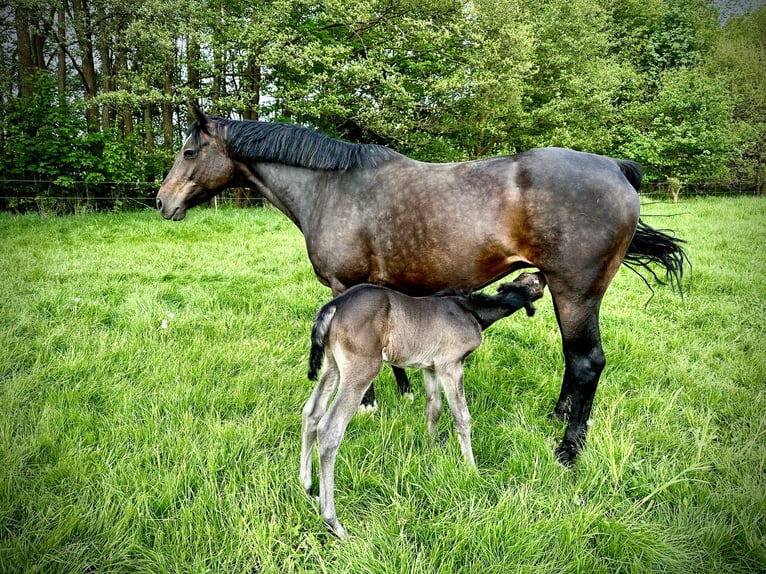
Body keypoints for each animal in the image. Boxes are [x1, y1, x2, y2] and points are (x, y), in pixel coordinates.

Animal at [156, 103, 687, 465]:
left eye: (188, 150)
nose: (162, 201)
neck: (332, 187)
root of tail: (615, 168)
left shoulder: (345, 287)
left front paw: (369, 404)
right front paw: (406, 391)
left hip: (577, 292)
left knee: (586, 361)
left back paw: (569, 448)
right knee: (573, 359)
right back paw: (559, 417)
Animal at [302, 272, 546, 538]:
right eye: (535, 282)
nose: (543, 275)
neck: (470, 310)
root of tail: (334, 305)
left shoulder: (430, 367)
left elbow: (434, 408)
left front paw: (430, 447)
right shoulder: (450, 364)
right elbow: (462, 417)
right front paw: (472, 469)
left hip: (332, 365)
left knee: (312, 412)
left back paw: (307, 486)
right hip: (361, 368)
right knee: (330, 428)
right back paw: (333, 521)